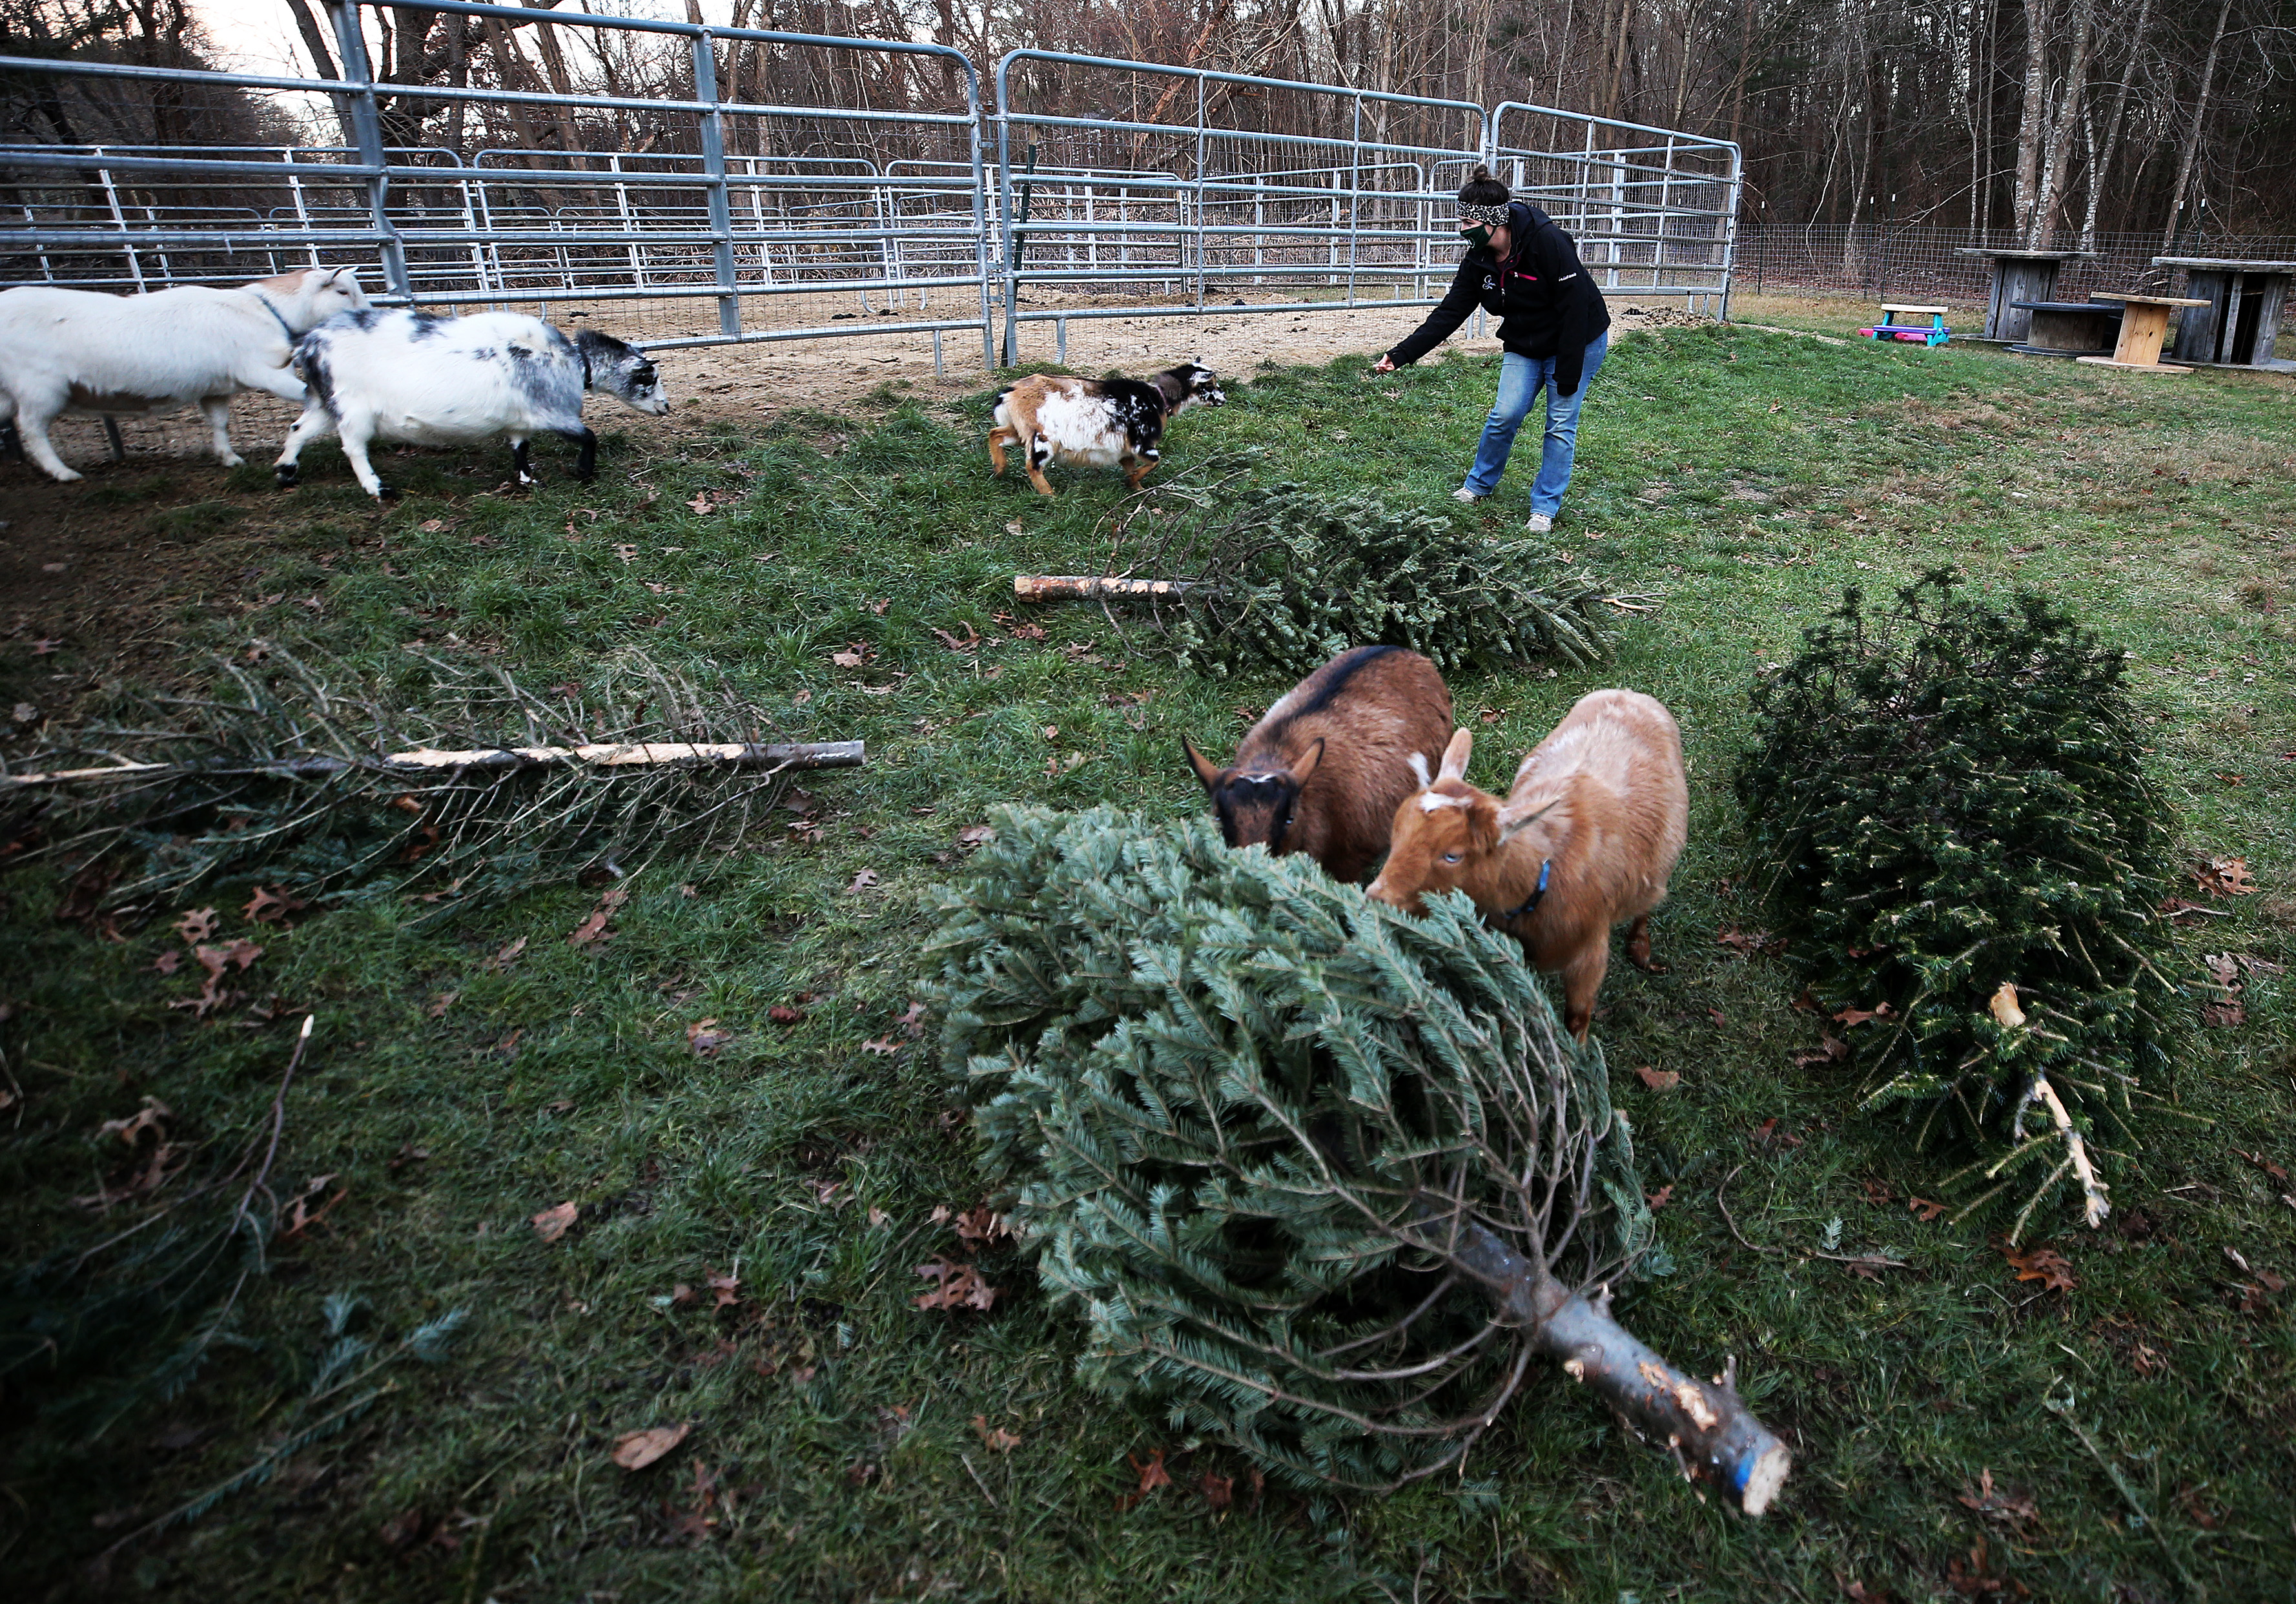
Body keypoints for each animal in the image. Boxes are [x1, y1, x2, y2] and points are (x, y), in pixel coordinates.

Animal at [0, 266, 365, 484]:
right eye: (342, 292)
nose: (367, 314)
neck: (267, 311)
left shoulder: (216, 389)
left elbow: (219, 422)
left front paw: (229, 458)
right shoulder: (264, 372)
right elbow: (303, 395)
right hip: (40, 388)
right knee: (32, 429)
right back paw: (62, 472)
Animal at [269, 305, 670, 498]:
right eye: (648, 379)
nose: (665, 408)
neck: (572, 361)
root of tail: (308, 344)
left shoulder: (521, 420)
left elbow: (520, 449)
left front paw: (527, 480)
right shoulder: (553, 413)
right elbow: (589, 437)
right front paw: (584, 472)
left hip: (325, 401)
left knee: (298, 429)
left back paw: (286, 472)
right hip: (353, 408)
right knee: (353, 447)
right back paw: (378, 489)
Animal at [996, 362, 1231, 495]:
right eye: (1210, 386)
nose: (1224, 399)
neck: (1158, 399)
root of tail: (1012, 391)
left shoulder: (1124, 446)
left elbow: (1130, 465)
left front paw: (1136, 488)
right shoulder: (1142, 442)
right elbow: (1154, 461)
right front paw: (1132, 483)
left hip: (1022, 431)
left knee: (996, 434)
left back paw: (999, 469)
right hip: (1042, 438)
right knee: (1032, 466)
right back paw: (1050, 495)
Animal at [1359, 688, 1690, 1042]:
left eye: (1453, 855)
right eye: (1397, 830)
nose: (1377, 896)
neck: (1542, 874)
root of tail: (1628, 694)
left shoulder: (1590, 955)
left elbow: (1577, 1018)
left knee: (1648, 900)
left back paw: (1640, 947)